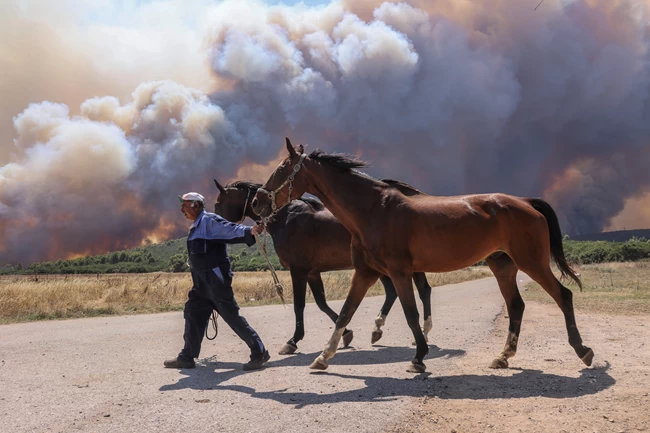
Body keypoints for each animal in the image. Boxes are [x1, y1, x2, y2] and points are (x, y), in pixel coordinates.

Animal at [213, 177, 432, 352]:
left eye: (218, 203)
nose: (214, 224)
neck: (286, 218)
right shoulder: (312, 272)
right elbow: (322, 303)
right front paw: (346, 333)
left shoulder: (298, 271)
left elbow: (299, 305)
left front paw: (292, 341)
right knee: (399, 292)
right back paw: (381, 329)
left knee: (421, 290)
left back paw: (420, 333)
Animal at [251, 138, 596, 372]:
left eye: (281, 169)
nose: (257, 202)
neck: (374, 210)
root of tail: (525, 202)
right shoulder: (365, 272)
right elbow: (346, 312)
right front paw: (324, 356)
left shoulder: (399, 272)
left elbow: (410, 313)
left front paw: (418, 357)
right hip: (503, 267)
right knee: (516, 306)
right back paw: (503, 356)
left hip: (532, 262)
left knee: (563, 296)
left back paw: (582, 350)